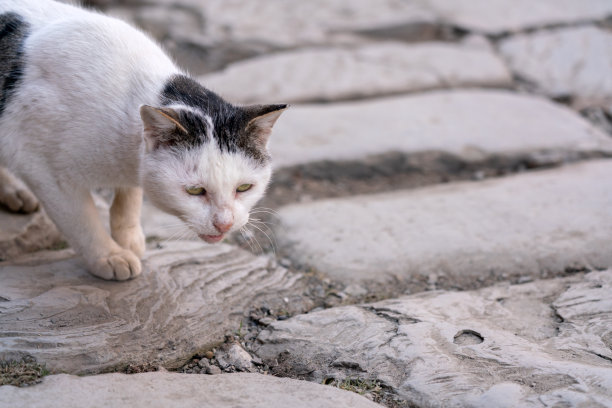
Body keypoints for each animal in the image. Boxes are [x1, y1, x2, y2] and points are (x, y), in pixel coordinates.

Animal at [0, 0, 286, 280]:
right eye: (195, 191)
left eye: (244, 188)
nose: (224, 223)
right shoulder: (46, 173)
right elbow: (82, 221)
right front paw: (109, 255)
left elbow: (130, 197)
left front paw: (128, 237)